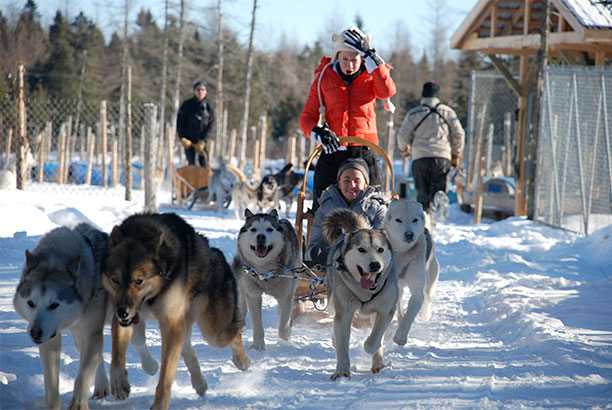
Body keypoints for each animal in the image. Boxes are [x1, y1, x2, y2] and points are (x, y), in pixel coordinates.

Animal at [12, 223, 157, 410]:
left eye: (54, 304)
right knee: (96, 355)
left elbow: (83, 376)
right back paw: (102, 386)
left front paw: (78, 405)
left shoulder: (90, 331)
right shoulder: (52, 338)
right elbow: (52, 384)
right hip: (78, 335)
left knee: (138, 343)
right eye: (31, 303)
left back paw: (151, 367)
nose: (35, 332)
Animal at [101, 213, 250, 408]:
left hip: (213, 332)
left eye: (138, 281)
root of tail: (216, 255)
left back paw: (243, 362)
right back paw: (199, 383)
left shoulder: (170, 324)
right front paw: (119, 384)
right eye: (115, 280)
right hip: (184, 326)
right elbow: (117, 357)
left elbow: (165, 377)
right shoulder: (125, 320)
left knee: (234, 334)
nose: (122, 312)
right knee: (188, 349)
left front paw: (159, 405)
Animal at [233, 210, 300, 350]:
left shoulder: (285, 295)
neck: (264, 272)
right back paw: (241, 323)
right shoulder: (253, 295)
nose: (261, 237)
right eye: (253, 229)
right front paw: (258, 345)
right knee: (242, 300)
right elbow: (257, 323)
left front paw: (287, 334)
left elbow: (283, 325)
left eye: (269, 229)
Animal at [322, 210, 400, 380]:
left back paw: (377, 363)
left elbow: (373, 341)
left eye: (380, 249)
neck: (366, 292)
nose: (375, 265)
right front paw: (342, 372)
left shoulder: (385, 311)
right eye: (361, 250)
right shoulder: (344, 313)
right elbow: (342, 345)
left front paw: (373, 346)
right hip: (332, 303)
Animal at [382, 199, 440, 346]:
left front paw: (400, 335)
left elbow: (409, 315)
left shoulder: (417, 291)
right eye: (398, 220)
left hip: (429, 280)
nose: (409, 234)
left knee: (428, 297)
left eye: (415, 220)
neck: (402, 254)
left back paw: (424, 314)